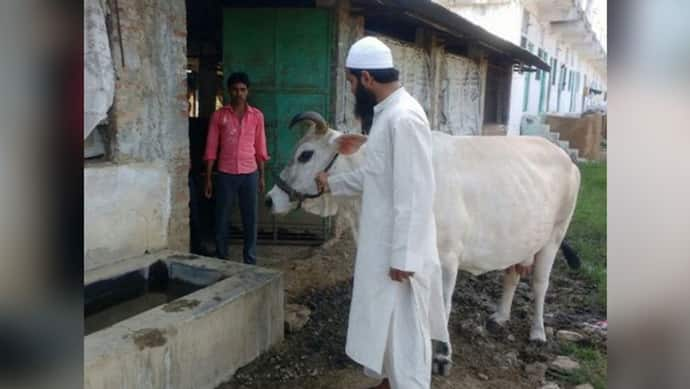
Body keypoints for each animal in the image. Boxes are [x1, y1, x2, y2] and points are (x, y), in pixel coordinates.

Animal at [266, 110, 576, 374]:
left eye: (305, 155)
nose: (270, 199)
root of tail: (564, 156)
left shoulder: (447, 259)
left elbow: (442, 307)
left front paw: (442, 355)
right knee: (512, 274)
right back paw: (499, 317)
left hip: (555, 236)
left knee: (540, 284)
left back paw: (537, 333)